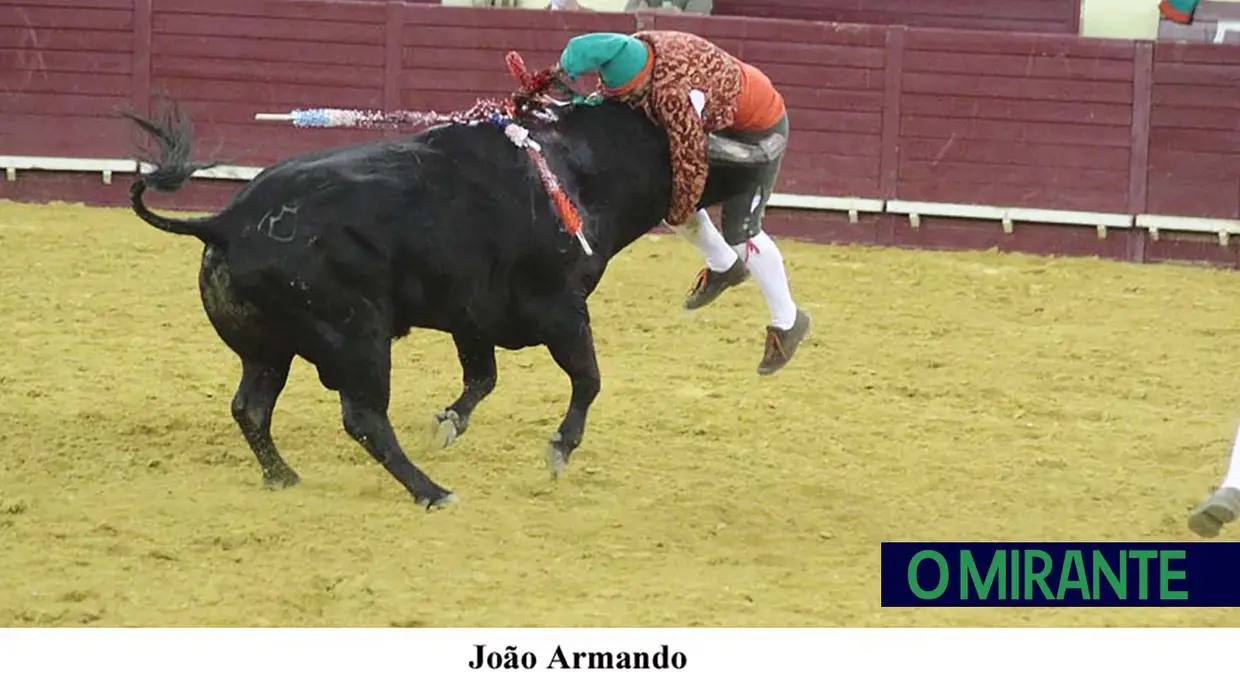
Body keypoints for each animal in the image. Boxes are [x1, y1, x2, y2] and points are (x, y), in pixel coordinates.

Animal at [128, 99, 763, 510]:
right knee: (362, 418)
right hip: (357, 337)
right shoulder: (562, 309)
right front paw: (558, 449)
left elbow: (483, 378)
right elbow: (588, 378)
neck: (581, 169)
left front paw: (448, 422)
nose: (757, 172)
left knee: (251, 408)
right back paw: (431, 492)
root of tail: (227, 221)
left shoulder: (471, 316)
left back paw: (285, 477)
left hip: (267, 351)